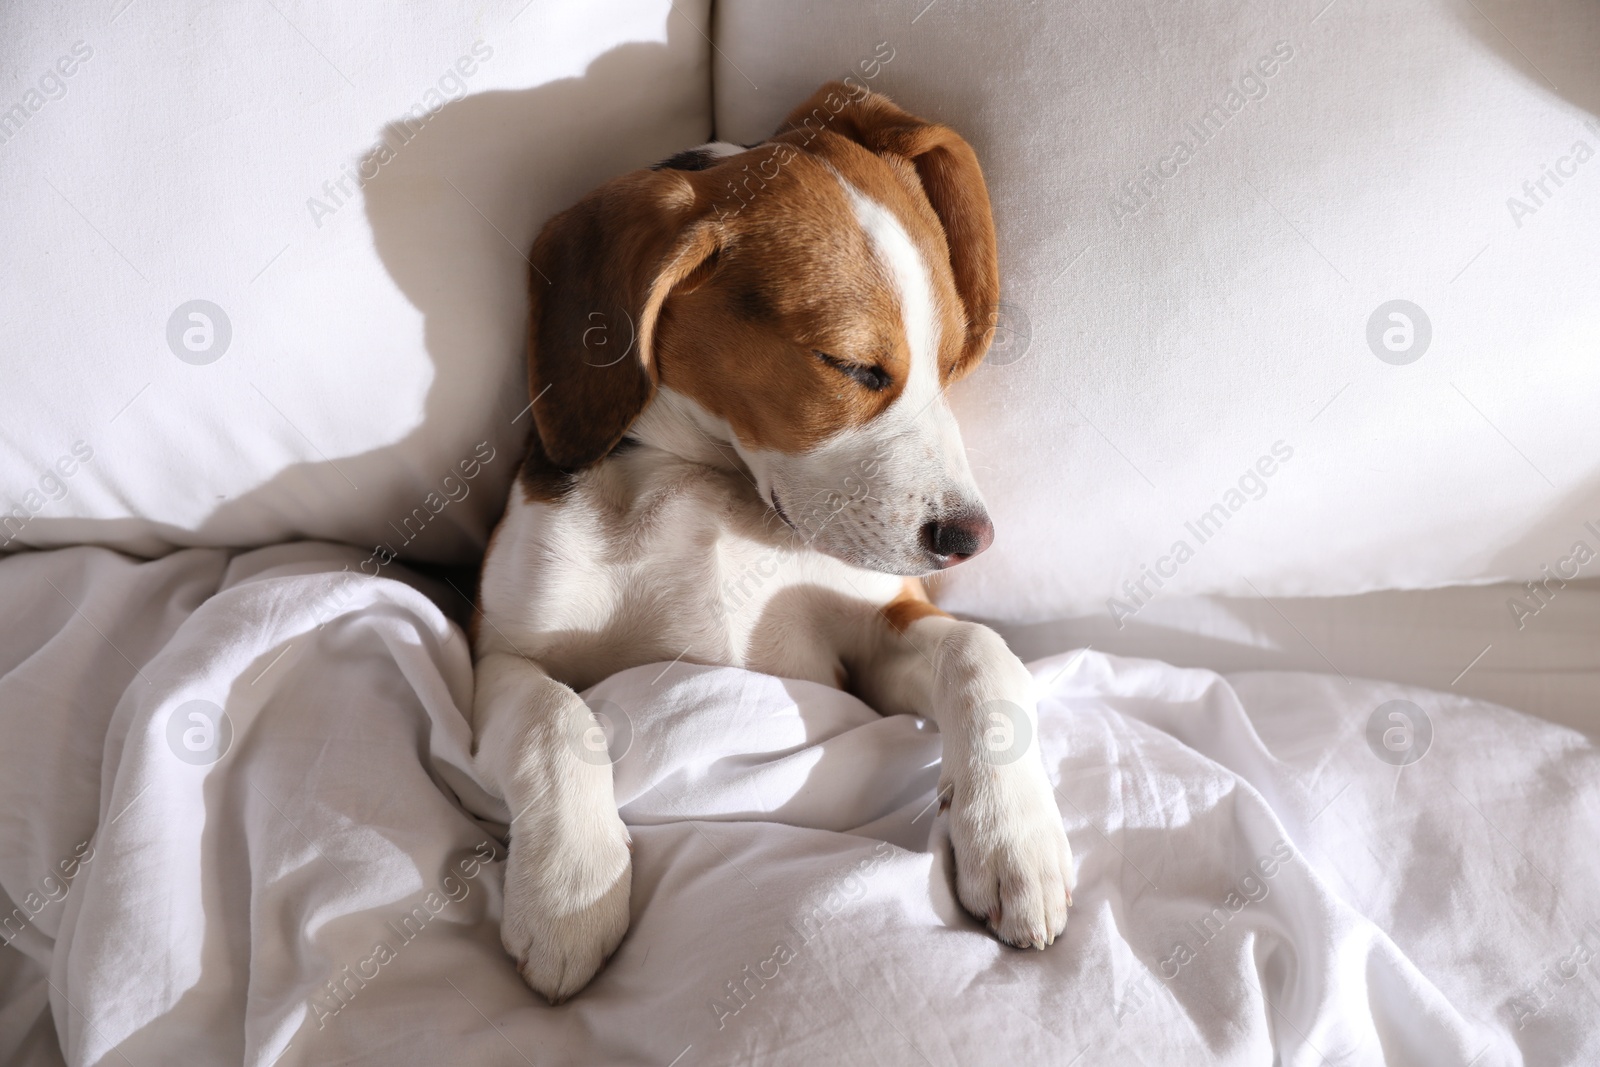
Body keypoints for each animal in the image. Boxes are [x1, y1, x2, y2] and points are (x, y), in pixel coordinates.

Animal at [473, 81, 1075, 1004]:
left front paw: (1017, 839)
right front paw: (571, 887)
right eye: (853, 367)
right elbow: (553, 714)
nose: (970, 537)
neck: (712, 485)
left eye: (949, 360)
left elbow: (981, 651)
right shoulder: (497, 650)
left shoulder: (875, 640)